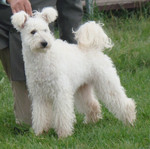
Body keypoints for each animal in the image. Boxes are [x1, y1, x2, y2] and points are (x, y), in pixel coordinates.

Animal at [11, 6, 136, 137]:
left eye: (45, 30)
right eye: (33, 32)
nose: (45, 43)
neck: (43, 60)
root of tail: (93, 49)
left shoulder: (61, 92)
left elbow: (63, 115)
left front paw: (63, 135)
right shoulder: (40, 96)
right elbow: (40, 115)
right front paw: (40, 133)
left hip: (107, 82)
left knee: (123, 102)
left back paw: (129, 121)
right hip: (82, 88)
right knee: (93, 105)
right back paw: (91, 122)